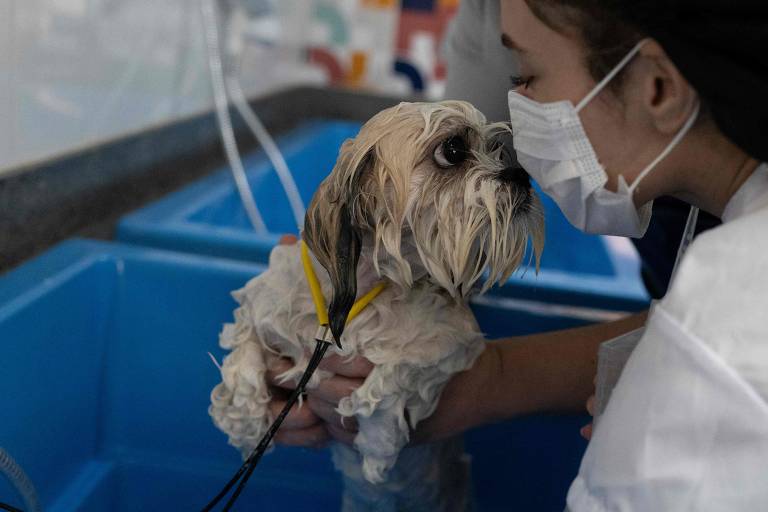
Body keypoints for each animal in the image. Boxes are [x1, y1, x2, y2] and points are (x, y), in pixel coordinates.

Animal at [210, 101, 544, 512]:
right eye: (452, 150)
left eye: (496, 149)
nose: (521, 175)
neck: (355, 297)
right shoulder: (259, 310)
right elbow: (244, 356)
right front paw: (243, 421)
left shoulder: (454, 343)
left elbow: (393, 375)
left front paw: (377, 443)